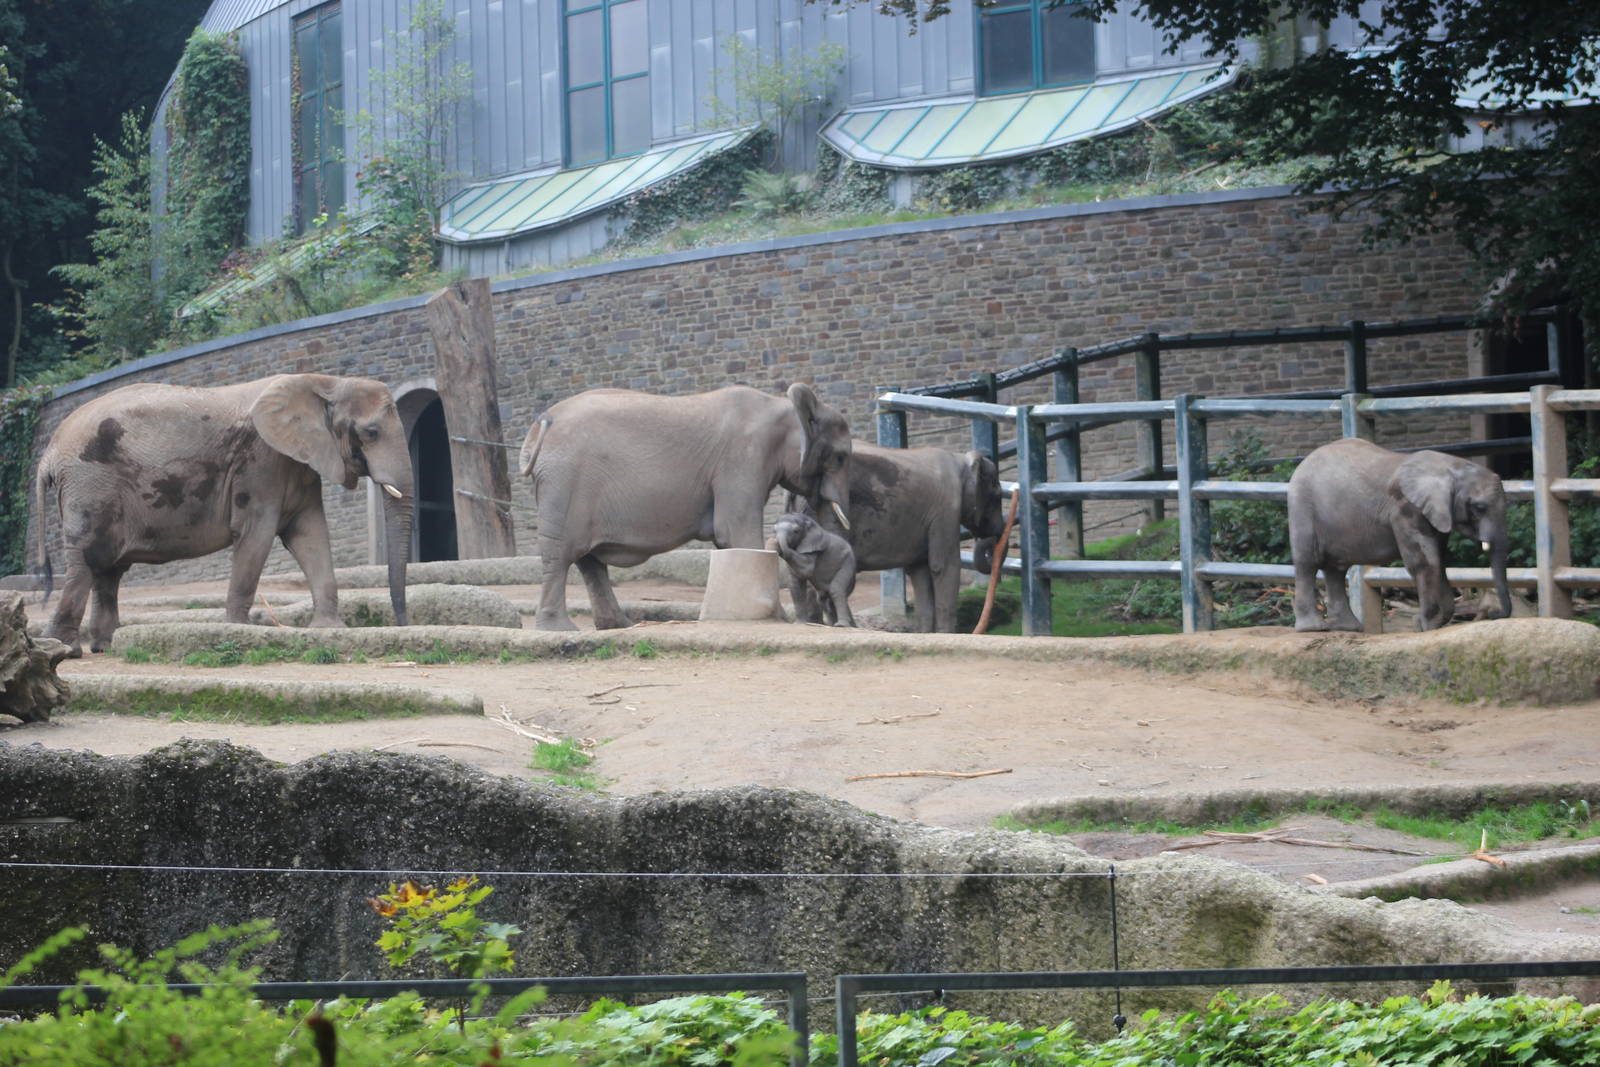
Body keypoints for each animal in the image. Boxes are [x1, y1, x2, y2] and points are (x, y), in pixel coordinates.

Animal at [34, 374, 414, 656]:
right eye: (371, 433)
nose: (402, 623)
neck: (326, 382)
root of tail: (49, 453)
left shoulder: (298, 464)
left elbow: (310, 535)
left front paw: (329, 629)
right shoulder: (261, 462)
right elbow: (256, 535)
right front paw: (239, 630)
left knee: (108, 570)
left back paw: (105, 646)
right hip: (90, 484)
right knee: (86, 561)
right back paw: (65, 649)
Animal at [518, 383, 853, 631]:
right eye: (840, 457)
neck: (781, 405)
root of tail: (542, 423)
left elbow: (727, 540)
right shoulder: (744, 458)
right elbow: (737, 533)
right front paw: (778, 620)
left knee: (588, 561)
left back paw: (618, 626)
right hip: (564, 482)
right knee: (561, 555)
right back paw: (560, 630)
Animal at [790, 443, 1005, 633]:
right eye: (997, 496)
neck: (961, 459)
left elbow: (920, 572)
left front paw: (925, 633)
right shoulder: (946, 510)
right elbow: (944, 566)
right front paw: (946, 634)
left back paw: (817, 623)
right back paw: (845, 626)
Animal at [1287, 437, 1511, 632]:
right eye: (1480, 507)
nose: (1494, 614)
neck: (1451, 466)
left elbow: (1439, 561)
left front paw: (1432, 623)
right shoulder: (1404, 510)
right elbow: (1424, 562)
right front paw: (1425, 626)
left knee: (1335, 569)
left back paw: (1350, 628)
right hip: (1303, 505)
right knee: (1308, 562)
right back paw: (1313, 628)